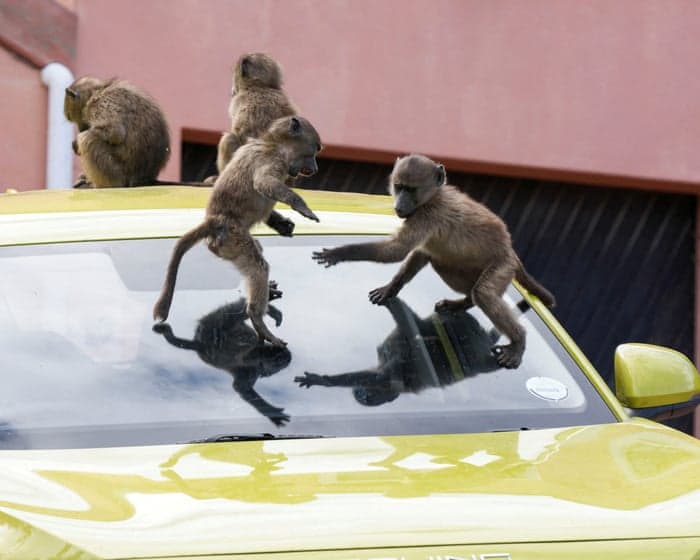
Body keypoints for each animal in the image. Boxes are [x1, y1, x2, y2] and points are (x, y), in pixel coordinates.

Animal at [153, 115, 322, 347]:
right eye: (314, 151)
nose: (314, 168)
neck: (272, 142)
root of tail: (214, 221)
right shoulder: (274, 160)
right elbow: (264, 183)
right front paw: (303, 207)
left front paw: (282, 224)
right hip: (232, 238)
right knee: (258, 267)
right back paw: (258, 319)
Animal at [153, 296, 292, 427]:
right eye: (278, 359)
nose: (285, 356)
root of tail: (198, 344)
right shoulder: (252, 368)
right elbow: (241, 385)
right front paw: (272, 414)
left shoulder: (252, 370)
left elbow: (241, 386)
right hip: (212, 323)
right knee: (234, 314)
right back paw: (267, 305)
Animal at [312, 154, 555, 369]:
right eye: (399, 187)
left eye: (411, 189)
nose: (399, 205)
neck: (432, 197)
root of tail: (509, 249)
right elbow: (419, 253)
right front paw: (391, 288)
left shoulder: (428, 215)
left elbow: (396, 251)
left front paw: (338, 253)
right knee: (446, 266)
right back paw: (463, 303)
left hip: (502, 266)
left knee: (484, 293)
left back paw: (518, 341)